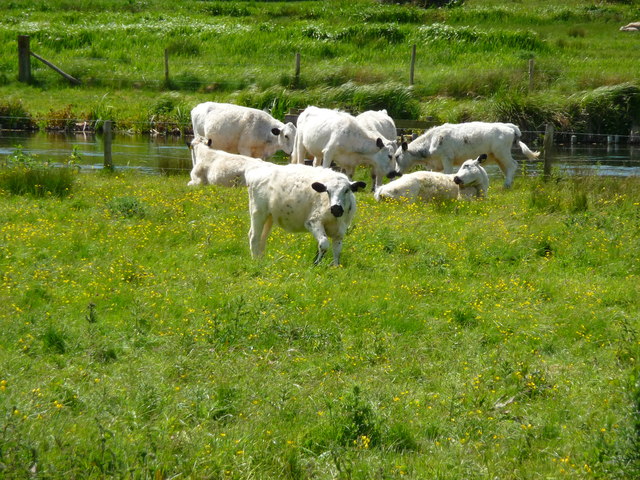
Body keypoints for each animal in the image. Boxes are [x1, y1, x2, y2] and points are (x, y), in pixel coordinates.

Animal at [396, 121, 540, 187]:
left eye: (396, 156)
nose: (396, 173)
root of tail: (508, 126)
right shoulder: (435, 164)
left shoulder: (447, 158)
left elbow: (447, 173)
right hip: (498, 156)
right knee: (507, 168)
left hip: (502, 153)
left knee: (512, 165)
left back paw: (507, 185)